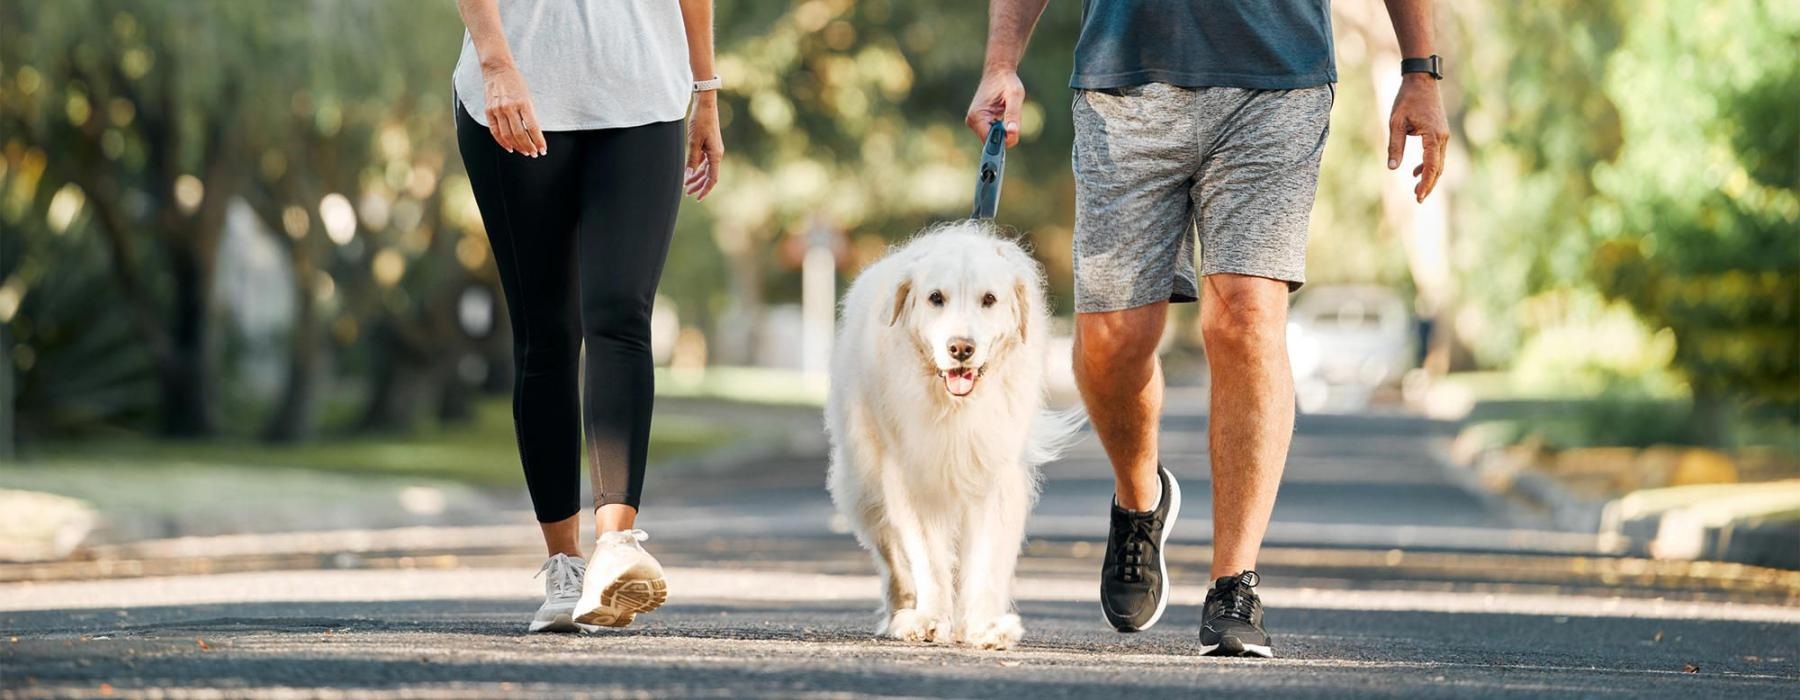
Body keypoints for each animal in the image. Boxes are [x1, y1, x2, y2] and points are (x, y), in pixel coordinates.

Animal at [828, 219, 1080, 647]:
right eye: (935, 298)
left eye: (989, 299)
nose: (961, 348)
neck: (955, 407)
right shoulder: (912, 478)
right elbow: (927, 557)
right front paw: (929, 620)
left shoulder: (996, 477)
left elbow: (988, 559)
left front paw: (985, 625)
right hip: (864, 487)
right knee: (894, 558)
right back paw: (901, 612)